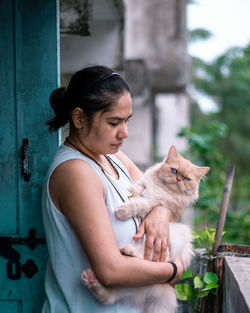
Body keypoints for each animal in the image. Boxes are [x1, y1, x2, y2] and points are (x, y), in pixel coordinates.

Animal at [81, 145, 210, 310]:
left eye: (187, 179)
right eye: (174, 171)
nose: (178, 179)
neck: (162, 189)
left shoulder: (154, 205)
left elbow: (138, 203)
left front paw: (122, 212)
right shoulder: (145, 184)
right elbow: (138, 187)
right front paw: (131, 190)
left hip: (174, 239)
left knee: (149, 260)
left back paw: (127, 250)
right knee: (109, 296)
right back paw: (92, 277)